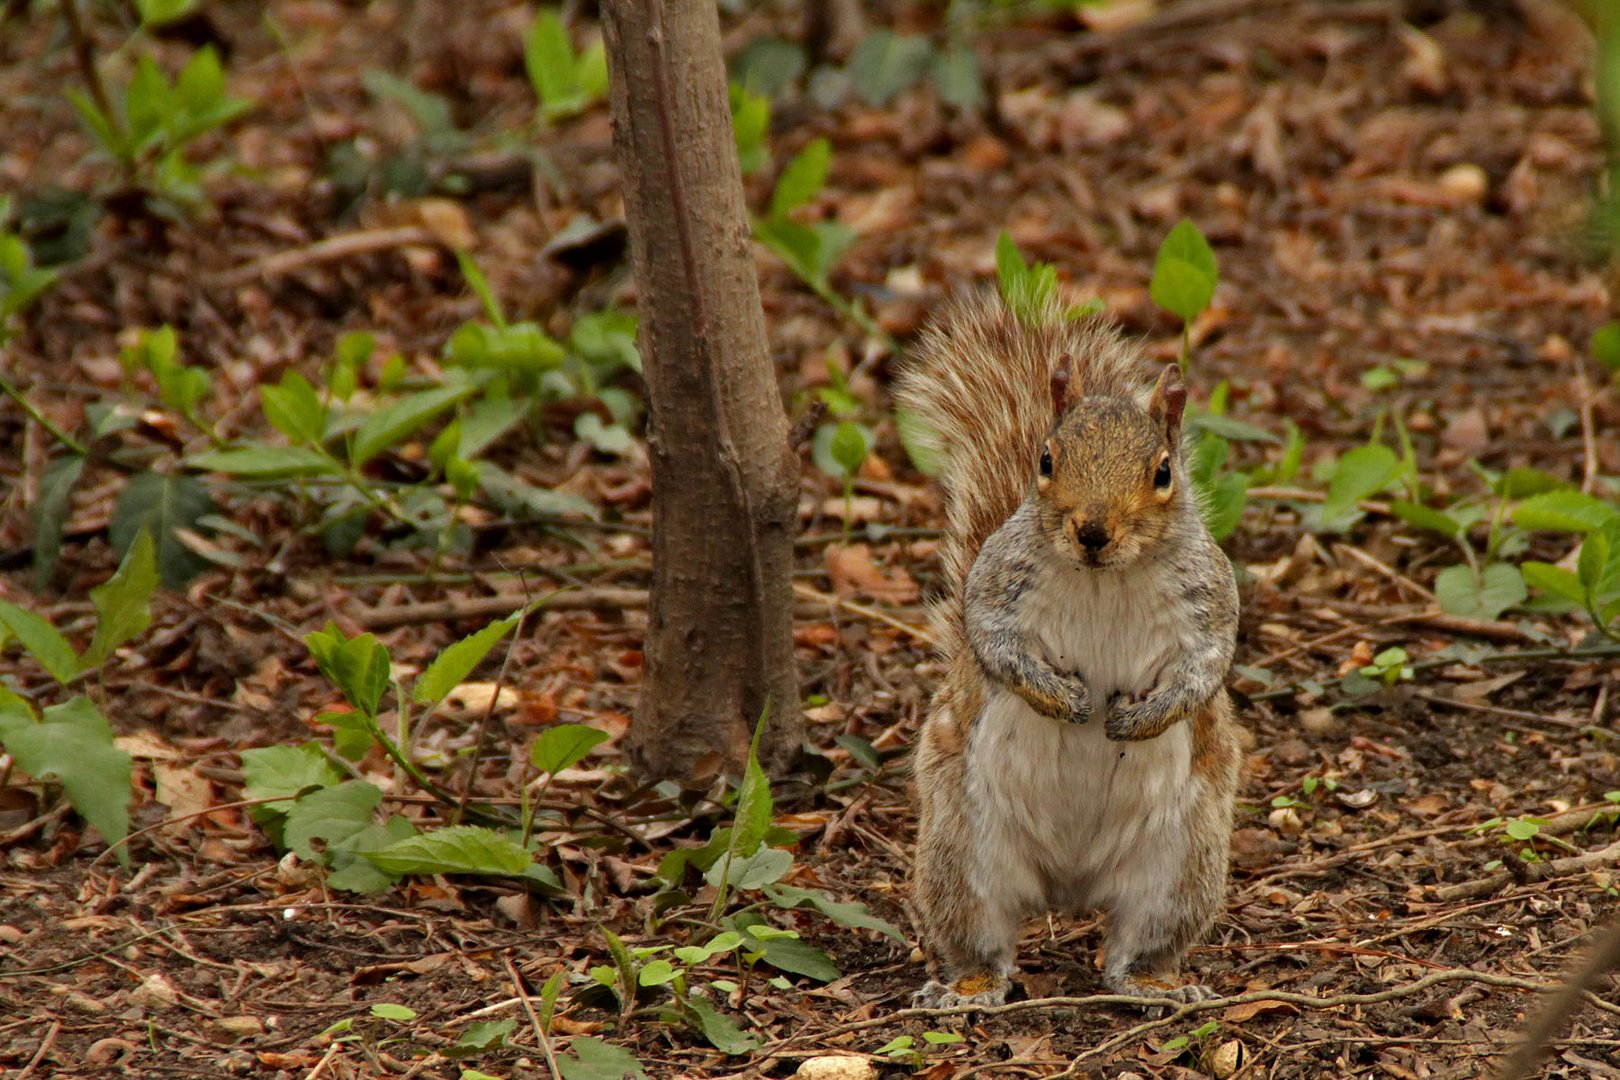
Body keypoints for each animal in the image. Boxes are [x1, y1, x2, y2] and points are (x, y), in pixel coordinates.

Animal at [900, 291, 1237, 1010]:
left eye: (1163, 472)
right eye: (1046, 461)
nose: (1092, 530)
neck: (1105, 577)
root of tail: (1070, 887)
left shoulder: (1210, 599)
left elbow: (1205, 668)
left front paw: (1137, 719)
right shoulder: (998, 586)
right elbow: (994, 643)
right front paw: (1067, 700)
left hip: (1181, 866)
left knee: (1142, 940)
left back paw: (1155, 983)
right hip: (960, 853)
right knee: (979, 937)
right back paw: (968, 987)